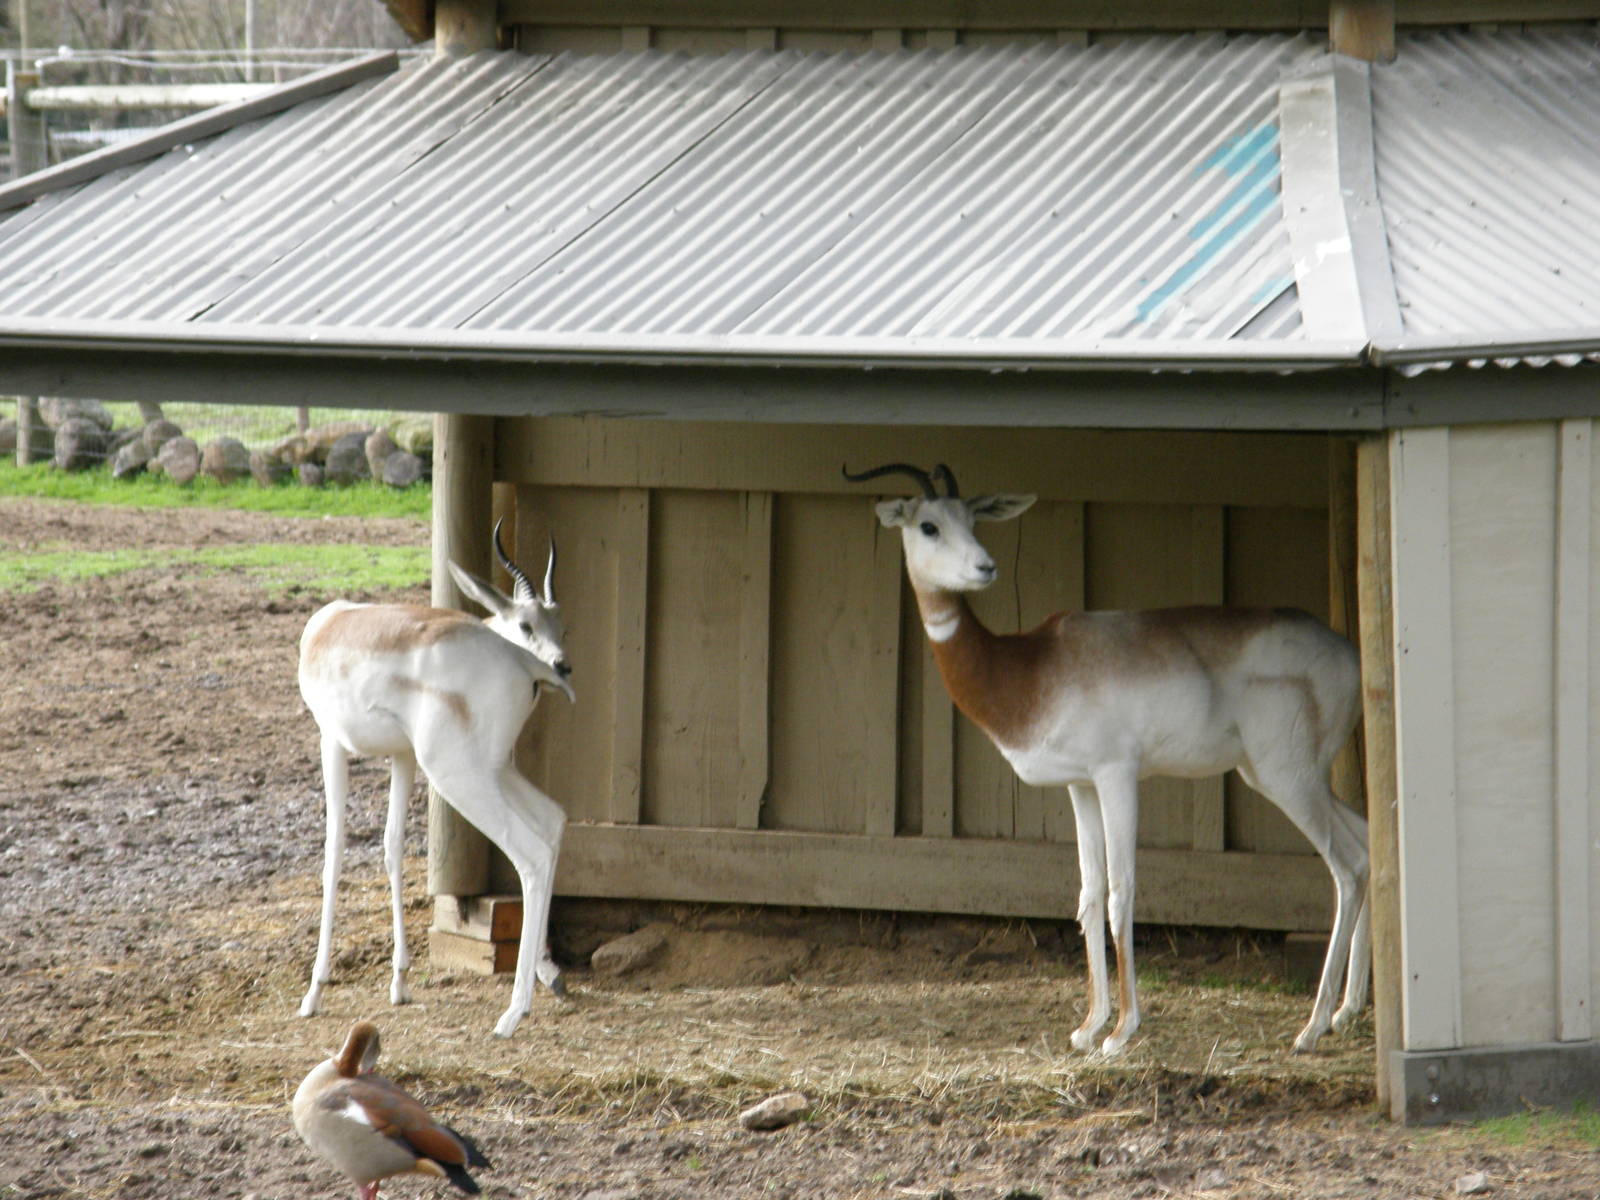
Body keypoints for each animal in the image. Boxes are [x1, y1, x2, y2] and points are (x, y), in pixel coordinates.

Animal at [297, 521, 574, 1038]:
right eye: (529, 624)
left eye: (560, 627)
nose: (563, 664)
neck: (333, 630)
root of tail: (524, 665)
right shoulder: (402, 756)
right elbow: (391, 848)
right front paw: (400, 982)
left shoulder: (332, 743)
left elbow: (334, 855)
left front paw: (315, 991)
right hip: (492, 770)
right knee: (553, 820)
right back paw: (541, 981)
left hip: (456, 775)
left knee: (532, 853)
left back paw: (512, 1013)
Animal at [845, 462, 1369, 1056]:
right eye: (929, 525)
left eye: (972, 519)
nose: (985, 566)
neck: (1031, 669)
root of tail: (1351, 653)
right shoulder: (1081, 785)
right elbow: (1089, 894)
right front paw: (1089, 1025)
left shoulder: (1117, 774)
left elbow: (1122, 892)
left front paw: (1122, 1032)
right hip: (1290, 778)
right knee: (1370, 844)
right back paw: (1348, 1010)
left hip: (1289, 779)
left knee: (1348, 866)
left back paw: (1312, 1027)